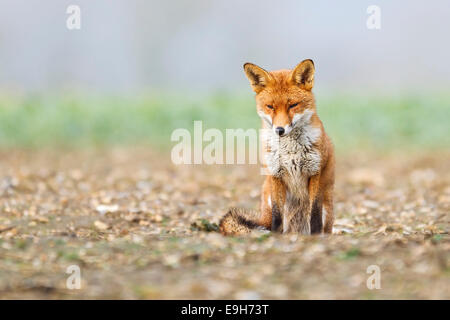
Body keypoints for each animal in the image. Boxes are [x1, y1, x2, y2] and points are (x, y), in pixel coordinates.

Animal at [220, 59, 336, 235]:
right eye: (270, 107)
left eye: (293, 105)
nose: (280, 130)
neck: (291, 151)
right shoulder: (275, 174)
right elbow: (277, 215)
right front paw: (275, 235)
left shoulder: (315, 172)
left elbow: (315, 215)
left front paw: (316, 236)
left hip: (327, 209)